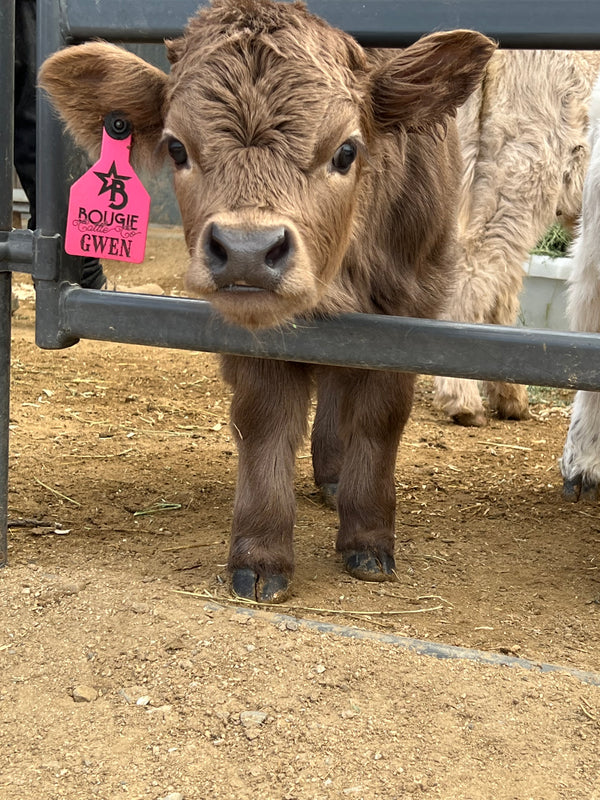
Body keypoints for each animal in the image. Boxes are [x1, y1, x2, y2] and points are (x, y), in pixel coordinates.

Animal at [39, 0, 495, 602]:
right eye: (177, 147)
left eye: (346, 151)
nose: (247, 252)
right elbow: (265, 423)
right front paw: (259, 555)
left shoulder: (409, 311)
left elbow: (379, 420)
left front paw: (368, 540)